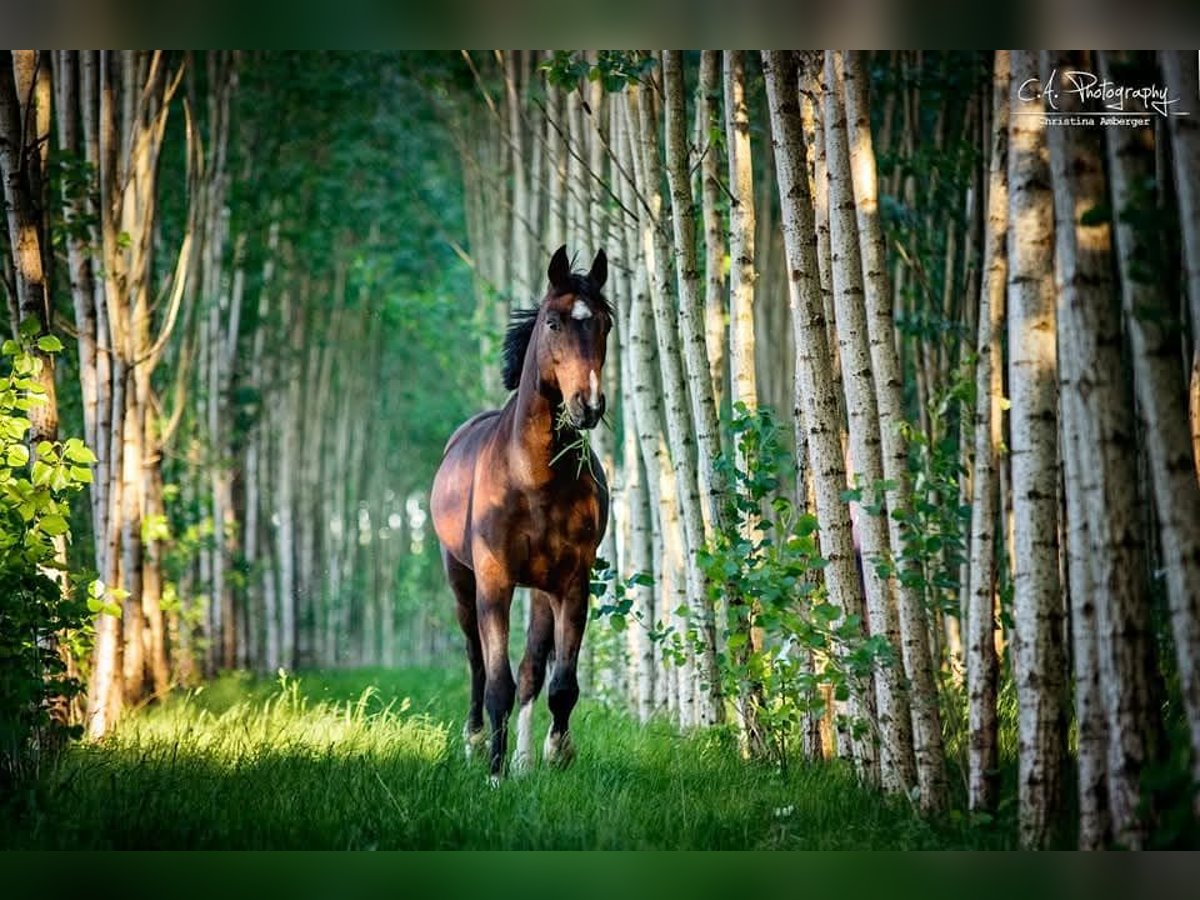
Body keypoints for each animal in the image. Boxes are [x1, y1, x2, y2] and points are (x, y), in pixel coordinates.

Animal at [429, 247, 609, 782]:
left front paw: (556, 752)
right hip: (460, 579)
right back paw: (474, 742)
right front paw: (494, 772)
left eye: (606, 323)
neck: (532, 479)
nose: (588, 405)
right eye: (552, 322)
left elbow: (560, 682)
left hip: (542, 591)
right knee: (475, 660)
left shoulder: (572, 582)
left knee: (532, 668)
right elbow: (496, 682)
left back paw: (527, 760)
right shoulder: (494, 580)